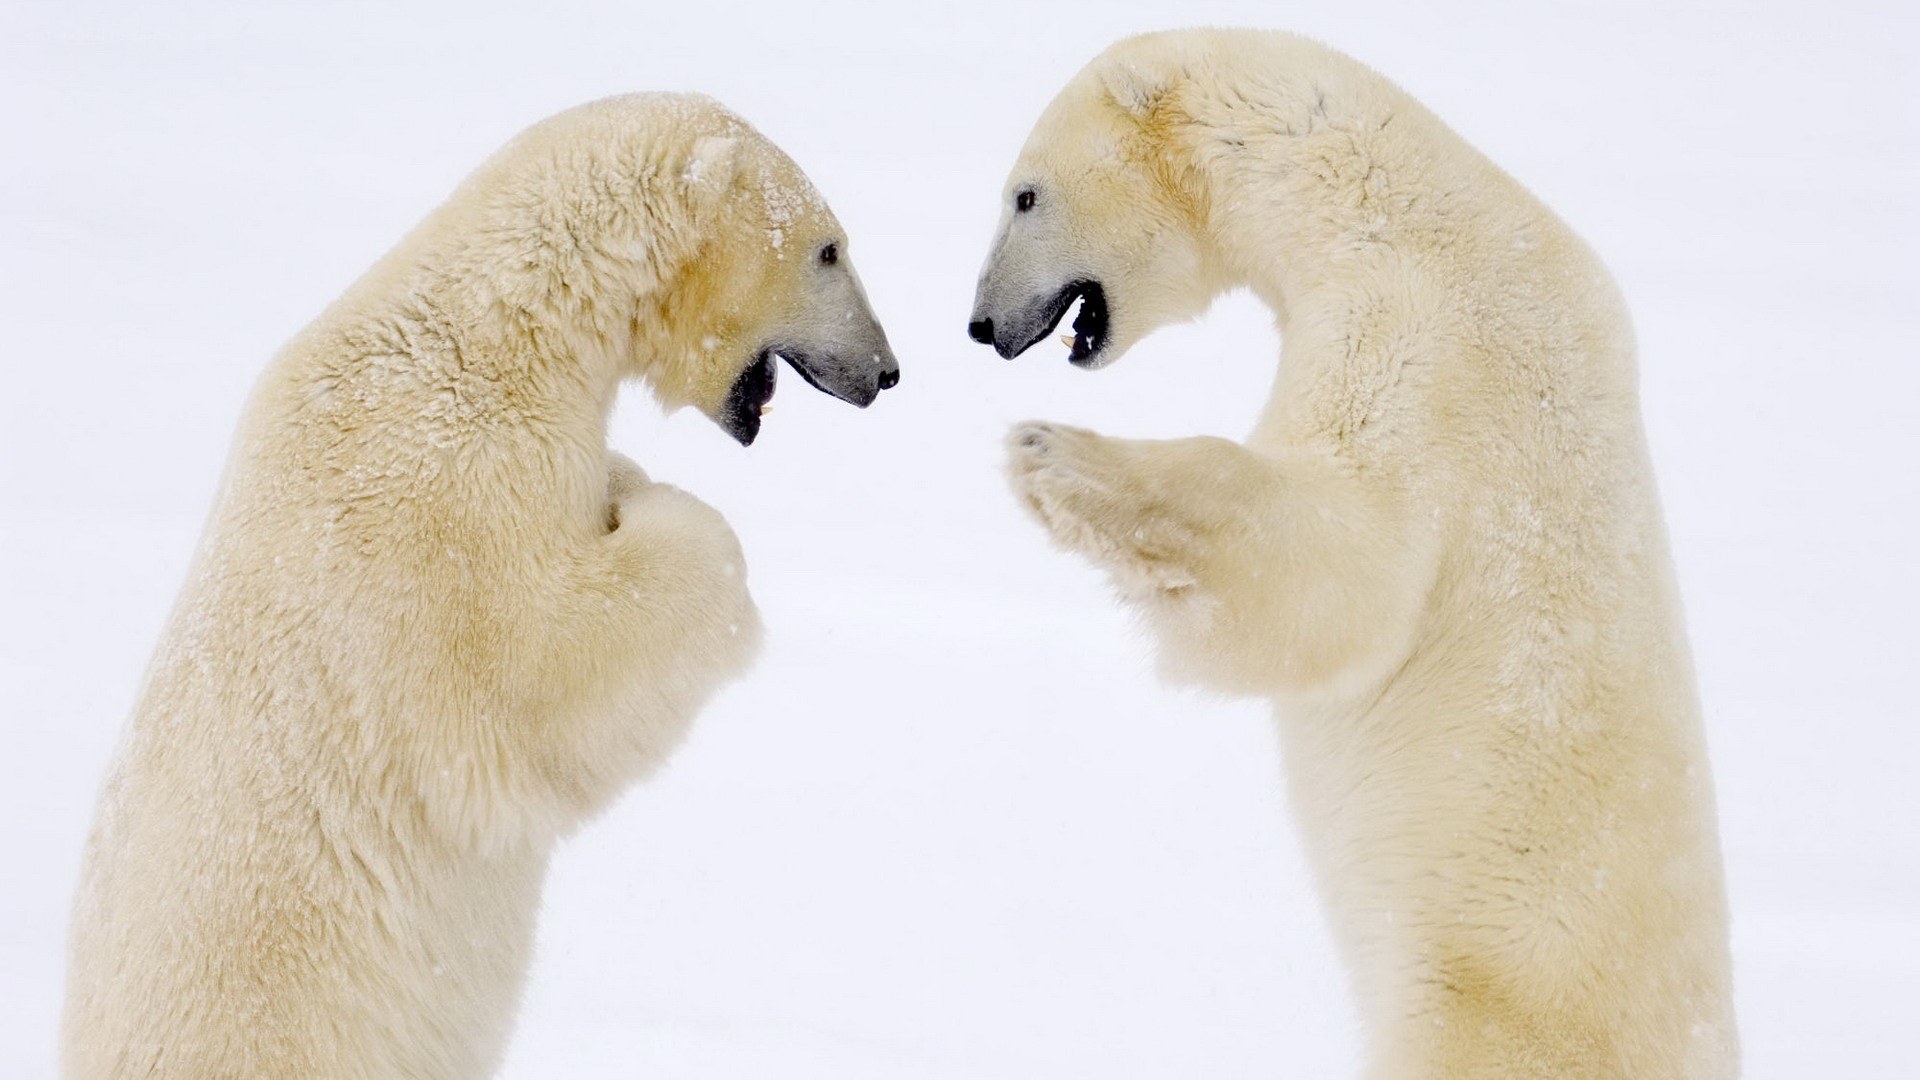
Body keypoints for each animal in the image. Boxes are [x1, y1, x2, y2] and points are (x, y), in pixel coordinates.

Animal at [62, 93, 897, 1079]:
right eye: (830, 250)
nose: (886, 372)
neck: (498, 331)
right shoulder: (444, 497)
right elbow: (535, 679)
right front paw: (654, 510)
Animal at [968, 30, 1736, 1079]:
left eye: (1025, 195)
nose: (980, 324)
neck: (1390, 200)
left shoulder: (1421, 336)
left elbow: (1347, 572)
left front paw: (1056, 456)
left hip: (1483, 1008)